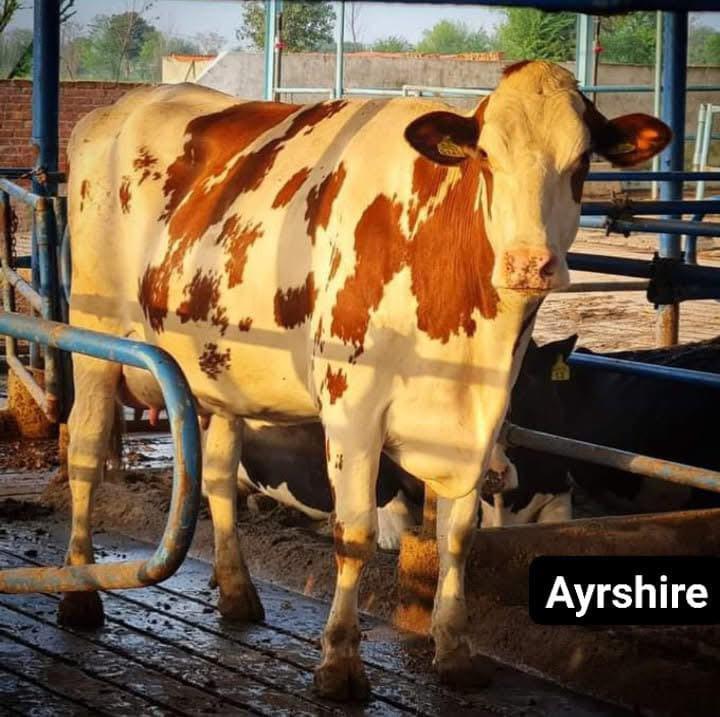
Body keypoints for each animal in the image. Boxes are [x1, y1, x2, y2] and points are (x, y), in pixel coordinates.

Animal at [63, 60, 669, 699]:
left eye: (581, 165)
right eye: (486, 157)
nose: (529, 263)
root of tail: (126, 103)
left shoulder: (481, 420)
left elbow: (460, 537)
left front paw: (454, 650)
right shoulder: (352, 411)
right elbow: (352, 534)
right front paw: (340, 661)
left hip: (219, 365)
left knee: (221, 474)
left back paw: (236, 591)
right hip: (95, 332)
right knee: (84, 449)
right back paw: (79, 594)